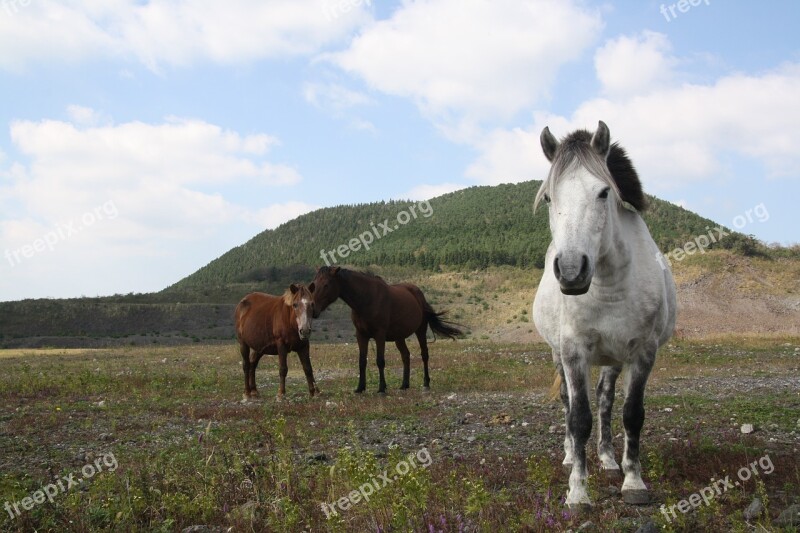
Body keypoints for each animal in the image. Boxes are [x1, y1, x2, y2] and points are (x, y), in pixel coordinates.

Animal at [310, 268, 462, 392]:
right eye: (314, 285)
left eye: (326, 285)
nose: (313, 309)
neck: (366, 299)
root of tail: (419, 294)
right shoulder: (361, 335)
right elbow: (362, 361)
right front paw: (360, 387)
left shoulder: (380, 335)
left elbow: (380, 361)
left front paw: (382, 388)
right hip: (399, 337)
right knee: (406, 356)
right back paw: (404, 384)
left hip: (420, 330)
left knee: (424, 354)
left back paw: (426, 383)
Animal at [532, 119, 676, 508]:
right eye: (549, 197)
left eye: (603, 192)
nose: (570, 271)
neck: (609, 285)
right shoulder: (573, 352)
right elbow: (579, 418)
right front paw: (578, 492)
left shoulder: (643, 352)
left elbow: (632, 414)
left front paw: (633, 482)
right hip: (557, 354)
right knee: (568, 404)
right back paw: (570, 456)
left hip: (613, 359)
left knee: (606, 400)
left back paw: (610, 459)